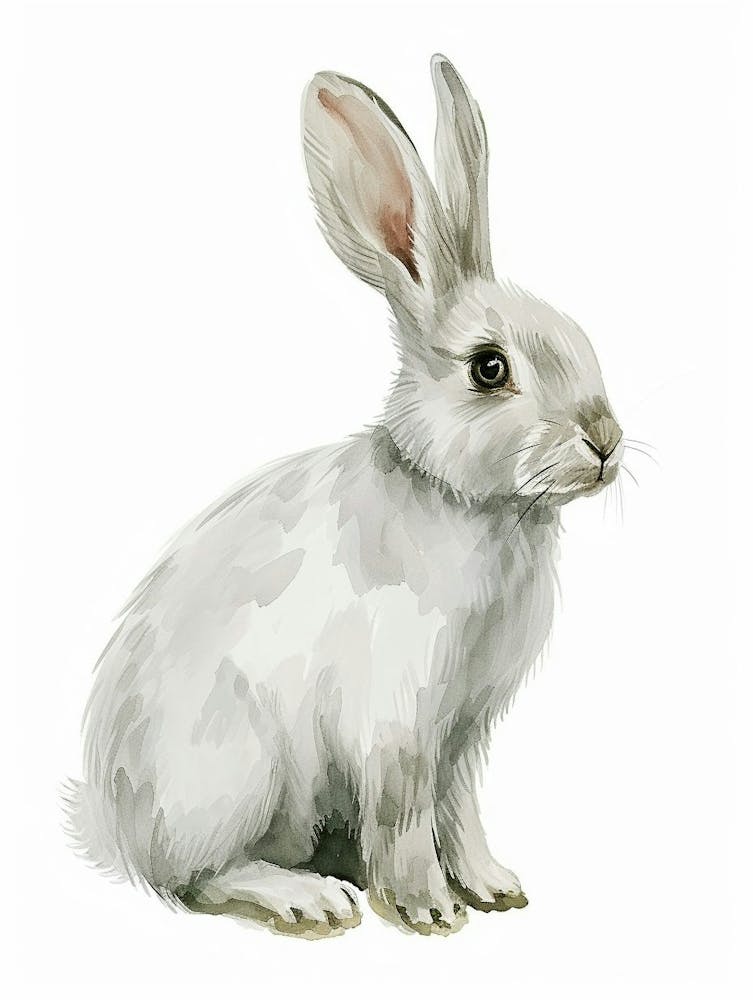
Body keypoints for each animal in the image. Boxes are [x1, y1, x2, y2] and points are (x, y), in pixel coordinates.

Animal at [65, 54, 623, 938]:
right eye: (488, 368)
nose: (605, 441)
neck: (471, 503)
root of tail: (118, 826)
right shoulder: (398, 719)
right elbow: (405, 818)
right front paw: (431, 911)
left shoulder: (463, 732)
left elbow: (459, 811)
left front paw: (494, 887)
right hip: (237, 772)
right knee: (196, 879)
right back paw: (312, 898)